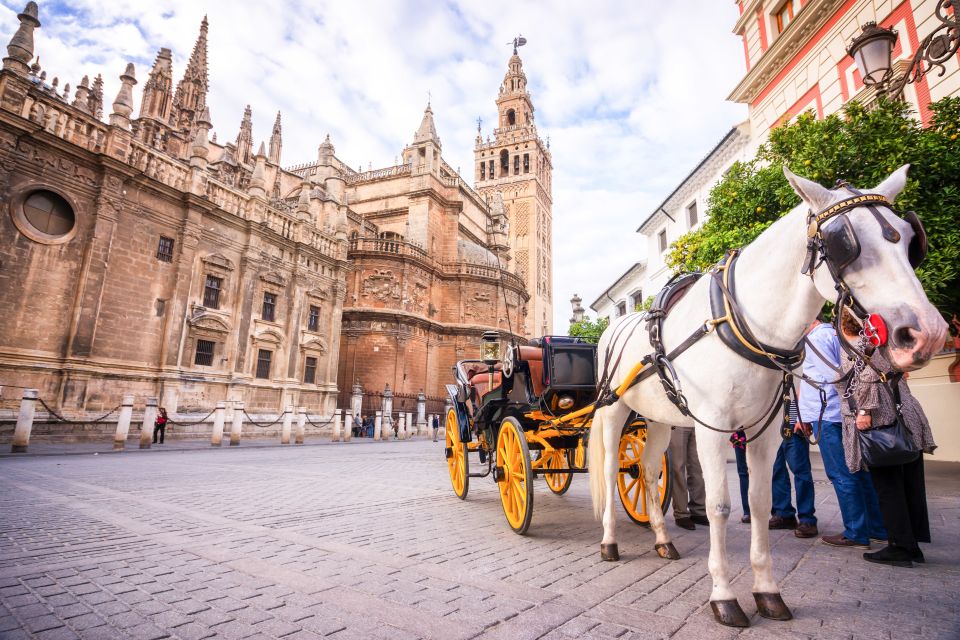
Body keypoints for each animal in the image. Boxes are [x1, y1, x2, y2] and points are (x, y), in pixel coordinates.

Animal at [588, 166, 948, 632]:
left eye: (908, 239)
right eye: (844, 243)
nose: (927, 333)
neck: (743, 324)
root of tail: (614, 329)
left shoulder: (765, 433)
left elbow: (759, 503)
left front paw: (766, 591)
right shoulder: (711, 429)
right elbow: (721, 506)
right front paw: (724, 595)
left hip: (660, 418)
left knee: (648, 471)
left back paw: (663, 539)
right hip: (615, 409)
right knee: (611, 467)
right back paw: (609, 541)